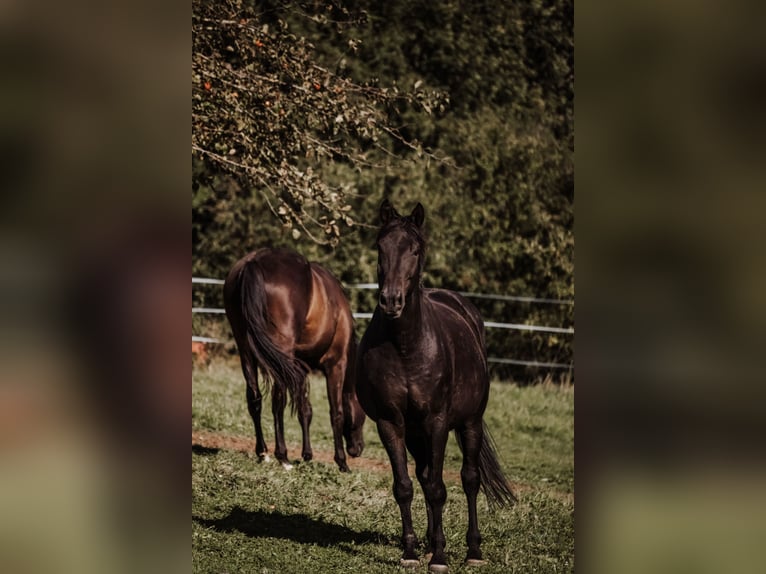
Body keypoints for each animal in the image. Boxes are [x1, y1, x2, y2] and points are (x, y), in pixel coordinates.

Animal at [225, 248, 366, 472]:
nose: (358, 448)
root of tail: (253, 262)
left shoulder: (300, 367)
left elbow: (304, 409)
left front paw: (307, 454)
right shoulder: (336, 365)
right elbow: (336, 412)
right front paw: (341, 462)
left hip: (246, 350)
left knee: (255, 398)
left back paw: (263, 453)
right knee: (278, 400)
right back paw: (282, 457)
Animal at [358, 200, 516, 572]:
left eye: (415, 250)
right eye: (380, 247)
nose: (391, 301)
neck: (406, 346)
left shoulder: (438, 422)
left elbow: (440, 488)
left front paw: (441, 558)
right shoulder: (391, 422)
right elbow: (405, 486)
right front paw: (411, 552)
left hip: (469, 423)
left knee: (469, 479)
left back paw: (473, 550)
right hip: (416, 433)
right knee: (424, 474)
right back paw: (431, 543)